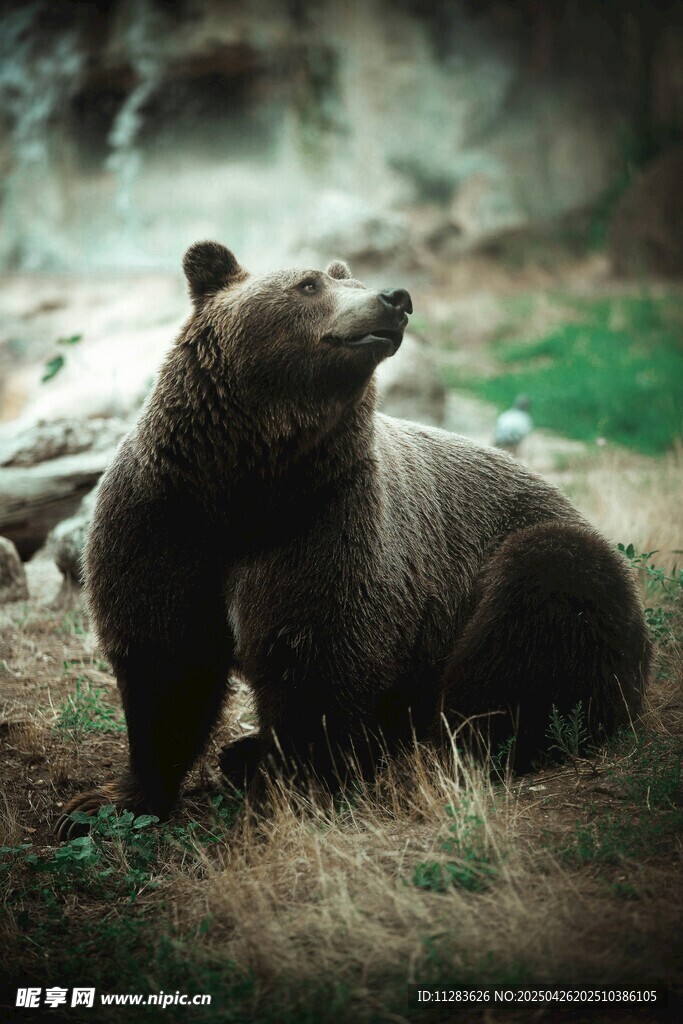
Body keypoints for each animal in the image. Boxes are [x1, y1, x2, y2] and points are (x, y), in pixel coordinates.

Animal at [56, 242, 650, 838]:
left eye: (350, 279)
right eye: (309, 284)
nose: (395, 298)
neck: (247, 482)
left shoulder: (325, 523)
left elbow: (315, 657)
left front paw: (291, 789)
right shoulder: (166, 520)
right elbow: (166, 661)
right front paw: (101, 804)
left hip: (538, 565)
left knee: (538, 612)